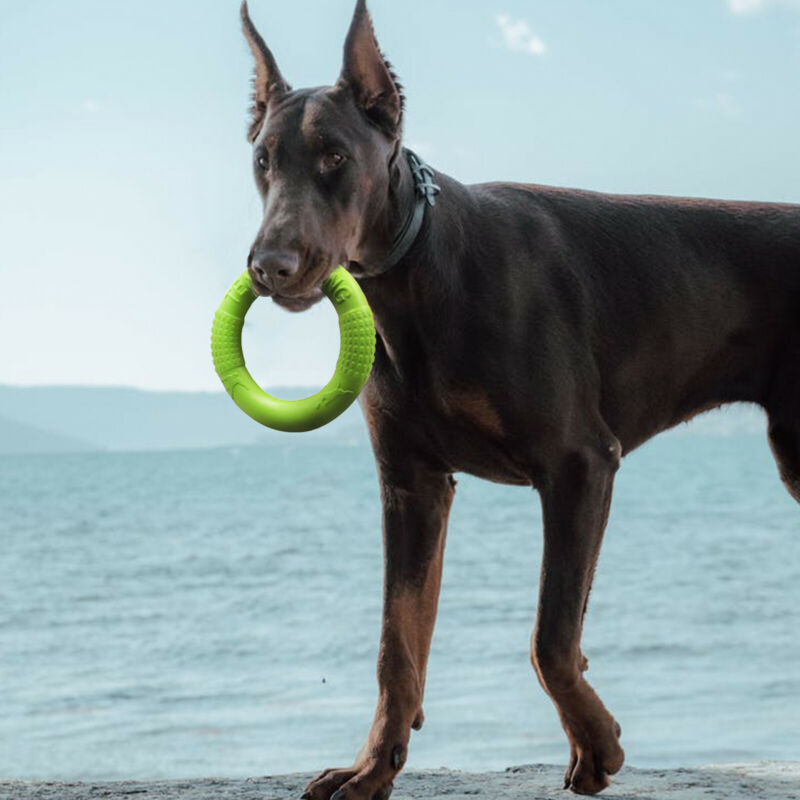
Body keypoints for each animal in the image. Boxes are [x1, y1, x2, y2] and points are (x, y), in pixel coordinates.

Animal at [238, 3, 800, 796]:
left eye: (335, 158)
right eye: (263, 161)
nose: (269, 267)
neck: (419, 274)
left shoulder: (580, 465)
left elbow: (551, 639)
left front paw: (598, 744)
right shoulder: (412, 483)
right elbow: (397, 645)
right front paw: (373, 767)